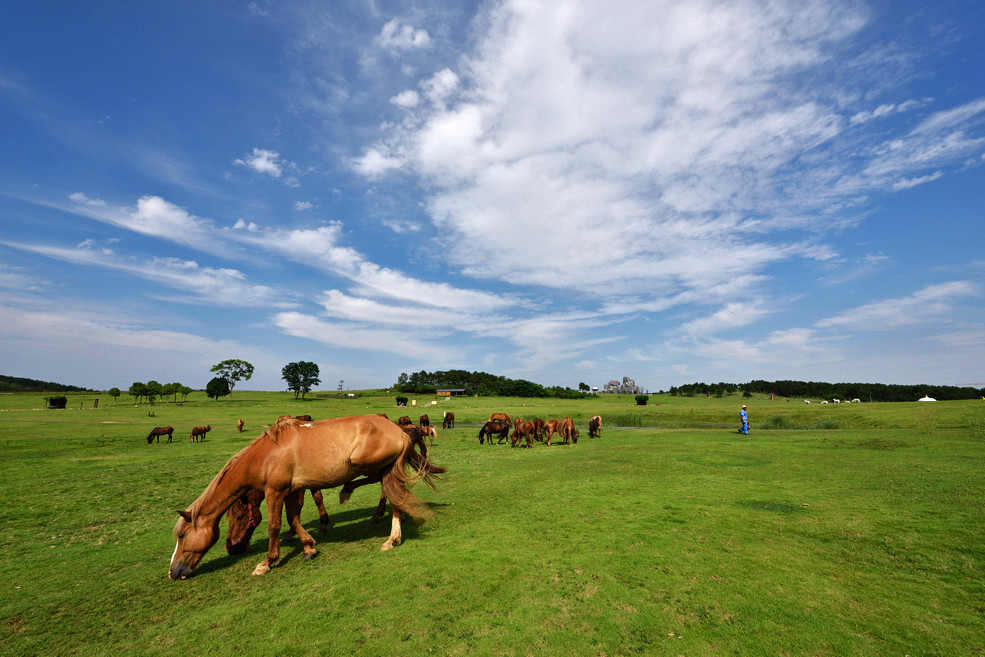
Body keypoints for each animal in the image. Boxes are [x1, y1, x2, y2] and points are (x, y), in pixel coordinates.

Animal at [167, 412, 444, 576]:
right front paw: (309, 547)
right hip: (384, 468)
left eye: (182, 535)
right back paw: (392, 537)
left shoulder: (275, 492)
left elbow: (274, 526)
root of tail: (400, 430)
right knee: (394, 496)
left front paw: (267, 562)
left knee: (385, 489)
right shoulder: (292, 490)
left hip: (367, 463)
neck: (265, 455)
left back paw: (350, 495)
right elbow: (294, 519)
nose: (173, 571)